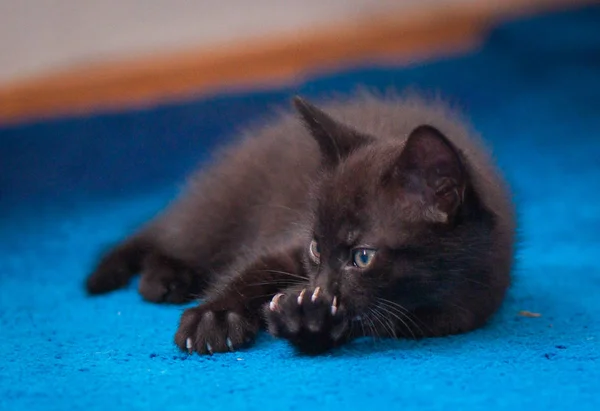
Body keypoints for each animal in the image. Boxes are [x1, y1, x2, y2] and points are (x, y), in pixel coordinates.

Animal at [84, 91, 516, 356]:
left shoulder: (450, 314)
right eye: (315, 248)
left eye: (362, 257)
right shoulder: (285, 244)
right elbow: (254, 269)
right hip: (217, 210)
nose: (320, 287)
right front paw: (213, 317)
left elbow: (370, 321)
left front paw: (308, 320)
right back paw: (162, 279)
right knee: (167, 237)